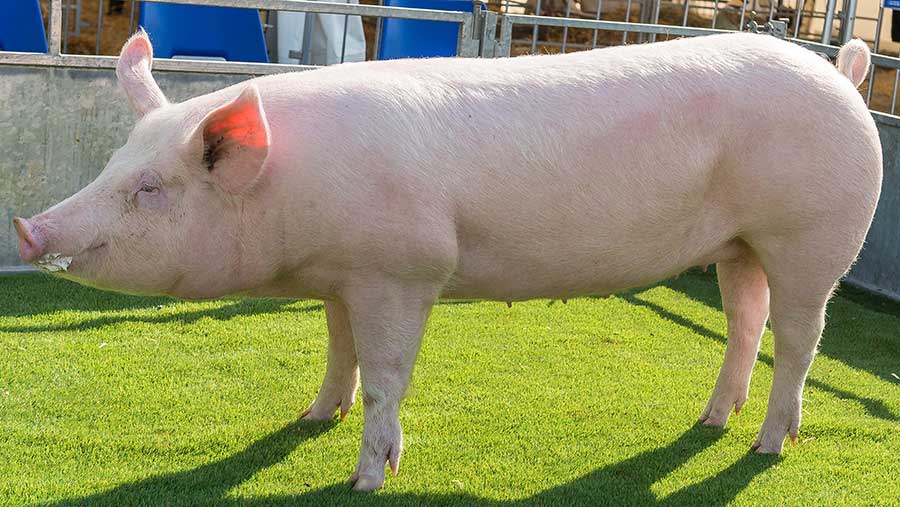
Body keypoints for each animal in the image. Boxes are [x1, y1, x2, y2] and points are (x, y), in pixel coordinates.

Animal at [13, 30, 881, 491]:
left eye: (151, 189)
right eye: (114, 162)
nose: (27, 228)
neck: (294, 186)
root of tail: (840, 74)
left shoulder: (403, 269)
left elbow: (386, 376)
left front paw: (366, 478)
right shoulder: (342, 279)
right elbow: (339, 353)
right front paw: (310, 417)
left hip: (812, 235)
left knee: (800, 339)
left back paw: (767, 445)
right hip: (739, 245)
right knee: (745, 323)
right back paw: (709, 419)